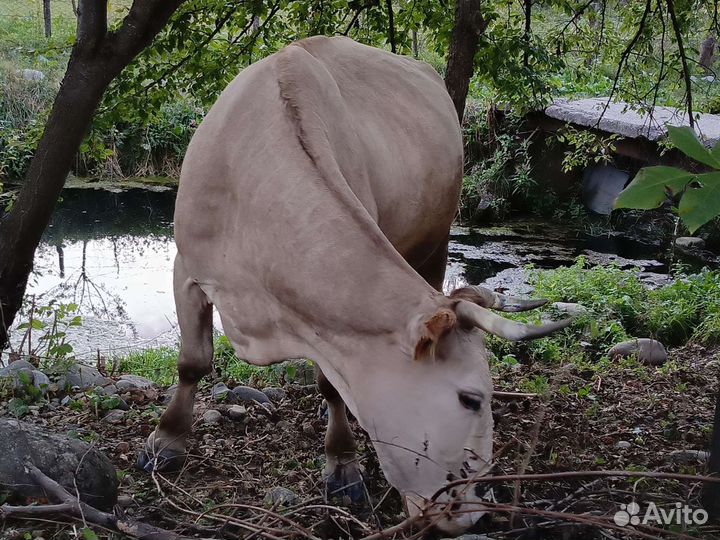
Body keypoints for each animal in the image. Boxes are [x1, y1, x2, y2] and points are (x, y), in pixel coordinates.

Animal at [137, 36, 572, 535]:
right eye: (471, 399)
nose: (475, 512)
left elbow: (332, 388)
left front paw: (343, 466)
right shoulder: (187, 268)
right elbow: (192, 362)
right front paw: (165, 443)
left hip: (437, 238)